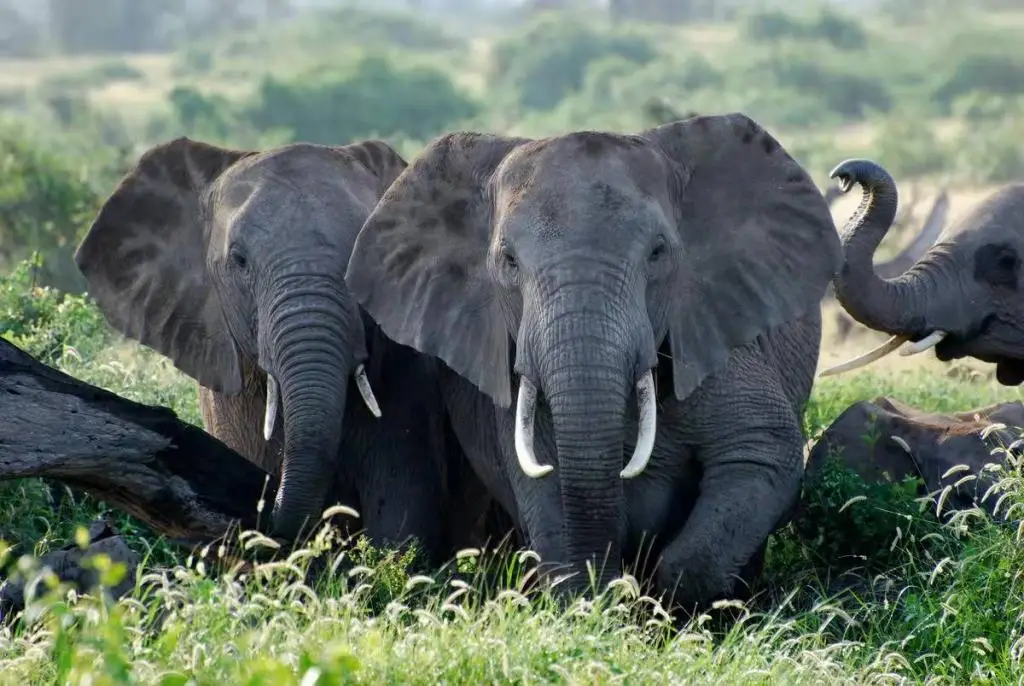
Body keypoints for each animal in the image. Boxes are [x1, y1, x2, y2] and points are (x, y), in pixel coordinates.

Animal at [344, 112, 839, 614]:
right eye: (508, 261)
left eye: (658, 253)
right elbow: (549, 487)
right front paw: (595, 607)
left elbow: (761, 452)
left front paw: (661, 604)